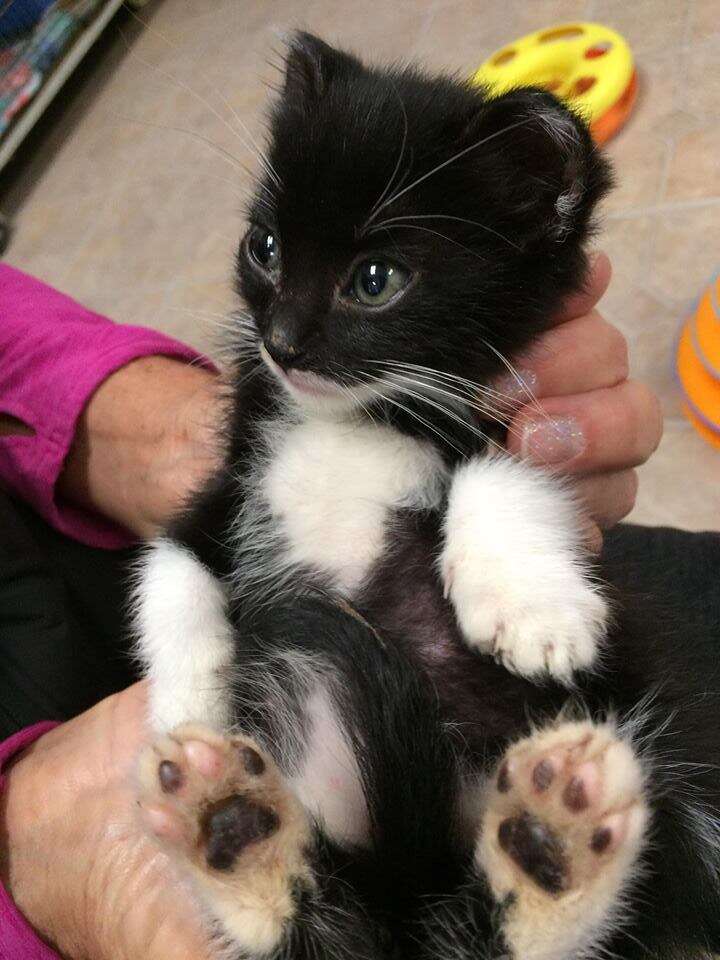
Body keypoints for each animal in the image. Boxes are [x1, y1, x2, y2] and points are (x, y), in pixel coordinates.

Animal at [134, 33, 720, 960]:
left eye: (376, 280)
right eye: (264, 247)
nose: (281, 342)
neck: (351, 419)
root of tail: (415, 904)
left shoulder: (522, 411)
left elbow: (503, 470)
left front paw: (535, 612)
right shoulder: (229, 483)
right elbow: (170, 562)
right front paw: (188, 706)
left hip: (659, 749)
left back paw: (555, 840)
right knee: (317, 924)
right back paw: (228, 822)